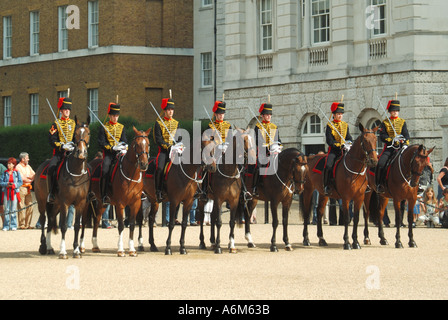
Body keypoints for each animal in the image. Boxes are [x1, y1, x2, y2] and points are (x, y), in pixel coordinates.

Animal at [35, 116, 91, 258]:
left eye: (88, 133)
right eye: (75, 134)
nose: (81, 152)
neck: (76, 173)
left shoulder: (80, 203)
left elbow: (76, 226)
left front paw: (76, 250)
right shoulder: (65, 202)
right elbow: (64, 226)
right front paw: (63, 251)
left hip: (55, 204)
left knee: (50, 220)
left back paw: (49, 247)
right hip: (42, 202)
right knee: (43, 220)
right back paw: (43, 246)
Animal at [80, 126, 150, 256]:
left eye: (147, 144)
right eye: (137, 144)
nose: (143, 164)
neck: (130, 175)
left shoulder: (135, 203)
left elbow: (132, 225)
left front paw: (132, 249)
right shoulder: (120, 204)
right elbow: (121, 225)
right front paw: (121, 250)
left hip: (102, 203)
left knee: (96, 220)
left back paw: (95, 246)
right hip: (87, 201)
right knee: (84, 220)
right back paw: (81, 246)